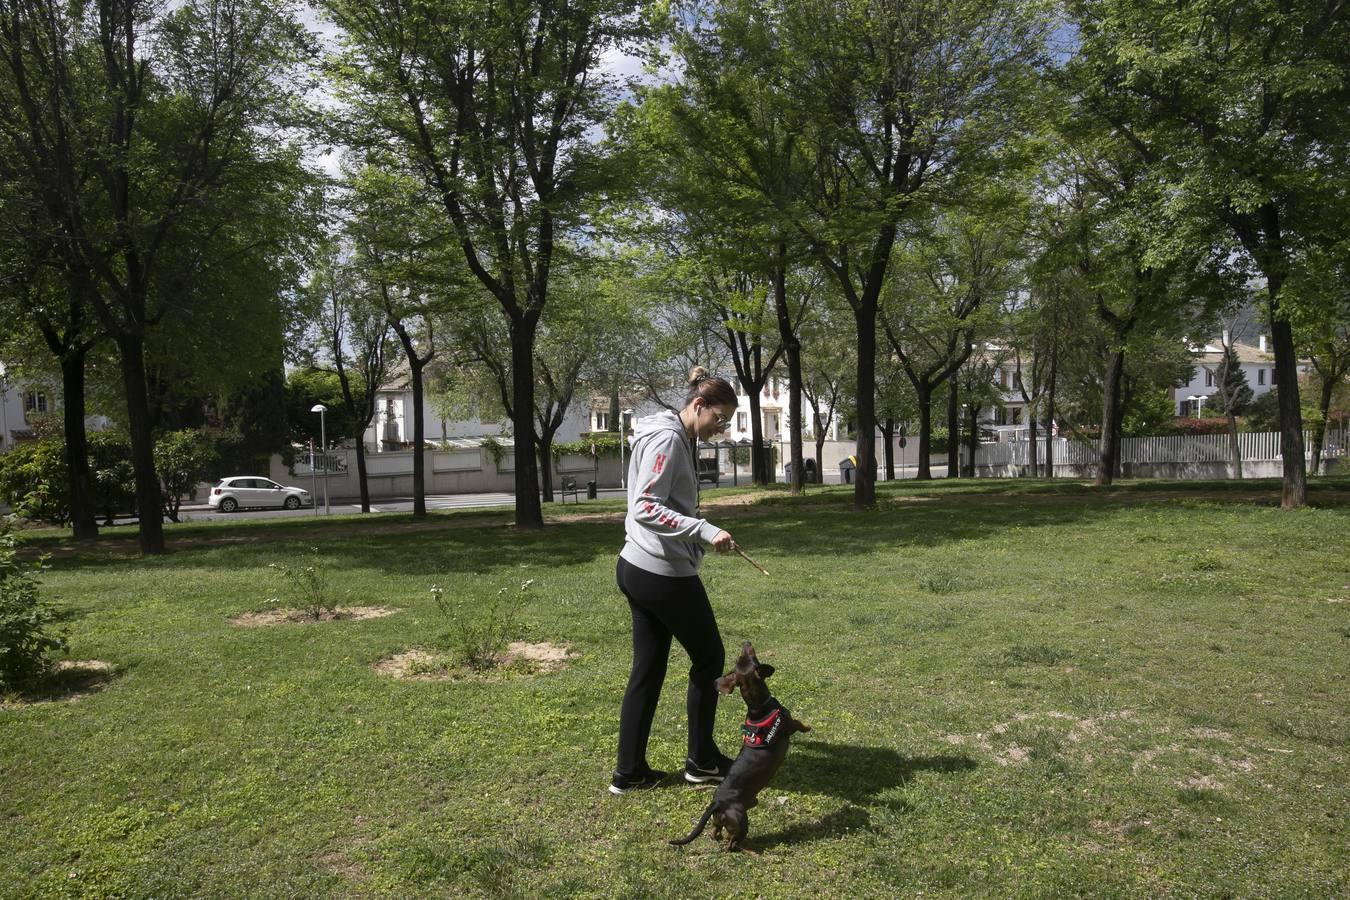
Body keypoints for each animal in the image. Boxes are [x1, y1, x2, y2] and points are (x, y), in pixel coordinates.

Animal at [666, 639, 804, 852]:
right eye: (749, 657)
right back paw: (746, 849)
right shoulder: (789, 724)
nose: (746, 642)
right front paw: (808, 727)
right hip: (740, 822)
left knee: (715, 832)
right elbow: (799, 724)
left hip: (718, 821)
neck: (757, 708)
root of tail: (717, 802)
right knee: (732, 842)